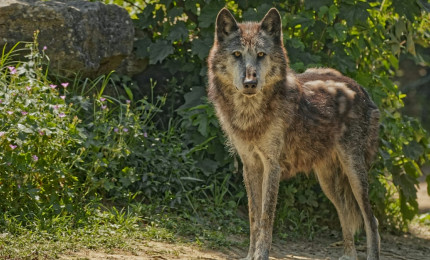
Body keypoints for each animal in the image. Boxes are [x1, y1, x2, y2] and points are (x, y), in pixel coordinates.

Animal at [207, 7, 382, 258]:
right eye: (237, 54)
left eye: (261, 54)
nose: (250, 82)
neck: (251, 113)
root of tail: (361, 89)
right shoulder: (250, 166)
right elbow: (253, 217)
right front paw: (250, 255)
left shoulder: (272, 166)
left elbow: (266, 217)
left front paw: (261, 255)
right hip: (327, 182)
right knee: (346, 215)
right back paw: (349, 255)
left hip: (354, 172)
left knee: (371, 220)